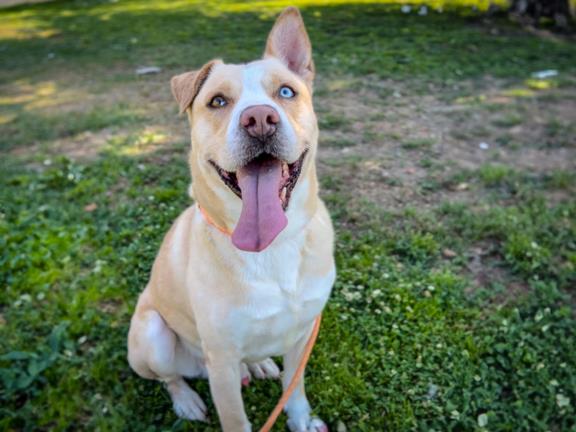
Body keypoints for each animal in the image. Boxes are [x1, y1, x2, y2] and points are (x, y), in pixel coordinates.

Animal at [126, 7, 332, 432]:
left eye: (286, 92)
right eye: (217, 101)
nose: (260, 119)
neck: (271, 247)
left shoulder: (302, 334)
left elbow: (295, 389)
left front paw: (301, 420)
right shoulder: (220, 361)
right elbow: (236, 419)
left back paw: (259, 363)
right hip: (153, 335)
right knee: (170, 377)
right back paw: (187, 400)